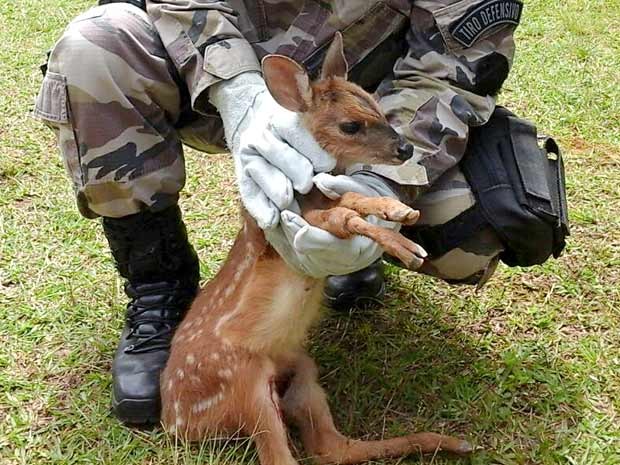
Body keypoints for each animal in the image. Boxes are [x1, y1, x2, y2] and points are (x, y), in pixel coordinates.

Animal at [160, 35, 470, 464]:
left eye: (376, 103)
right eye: (350, 125)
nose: (406, 150)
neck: (306, 193)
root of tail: (176, 423)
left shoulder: (324, 201)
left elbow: (353, 200)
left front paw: (397, 210)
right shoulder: (292, 224)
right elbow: (346, 217)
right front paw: (406, 246)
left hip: (301, 370)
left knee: (330, 447)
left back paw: (447, 442)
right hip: (239, 380)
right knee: (283, 455)